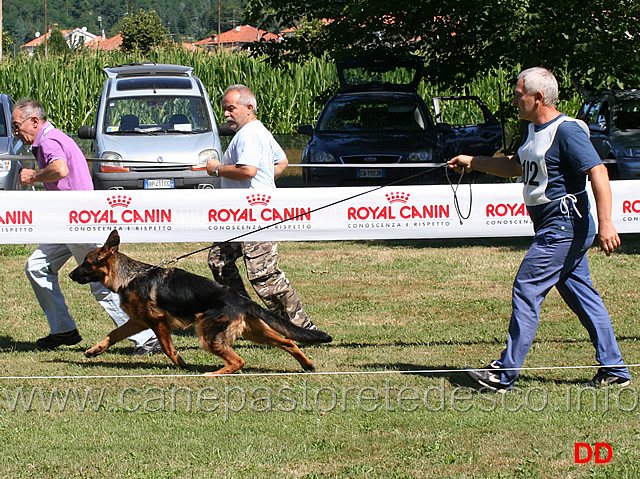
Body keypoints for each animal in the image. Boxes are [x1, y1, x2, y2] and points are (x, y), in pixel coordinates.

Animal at [68, 231, 332, 376]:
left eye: (86, 263)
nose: (70, 275)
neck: (130, 276)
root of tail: (241, 299)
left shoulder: (157, 322)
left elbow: (168, 348)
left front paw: (180, 364)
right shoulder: (138, 321)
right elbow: (113, 334)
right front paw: (95, 350)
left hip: (208, 334)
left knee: (238, 361)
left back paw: (212, 374)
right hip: (255, 333)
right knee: (288, 342)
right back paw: (307, 365)